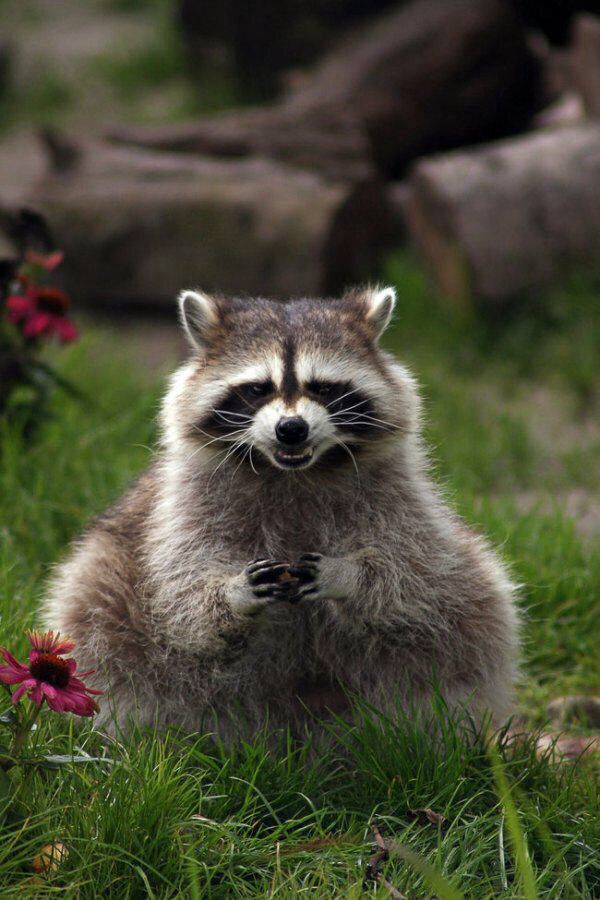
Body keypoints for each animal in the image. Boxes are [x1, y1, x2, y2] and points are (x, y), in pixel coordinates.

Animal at [43, 288, 520, 740]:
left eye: (323, 387)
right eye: (258, 388)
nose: (292, 428)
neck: (292, 470)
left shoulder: (399, 494)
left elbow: (415, 571)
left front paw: (349, 575)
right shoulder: (182, 504)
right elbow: (179, 590)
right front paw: (231, 594)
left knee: (479, 607)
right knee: (94, 609)